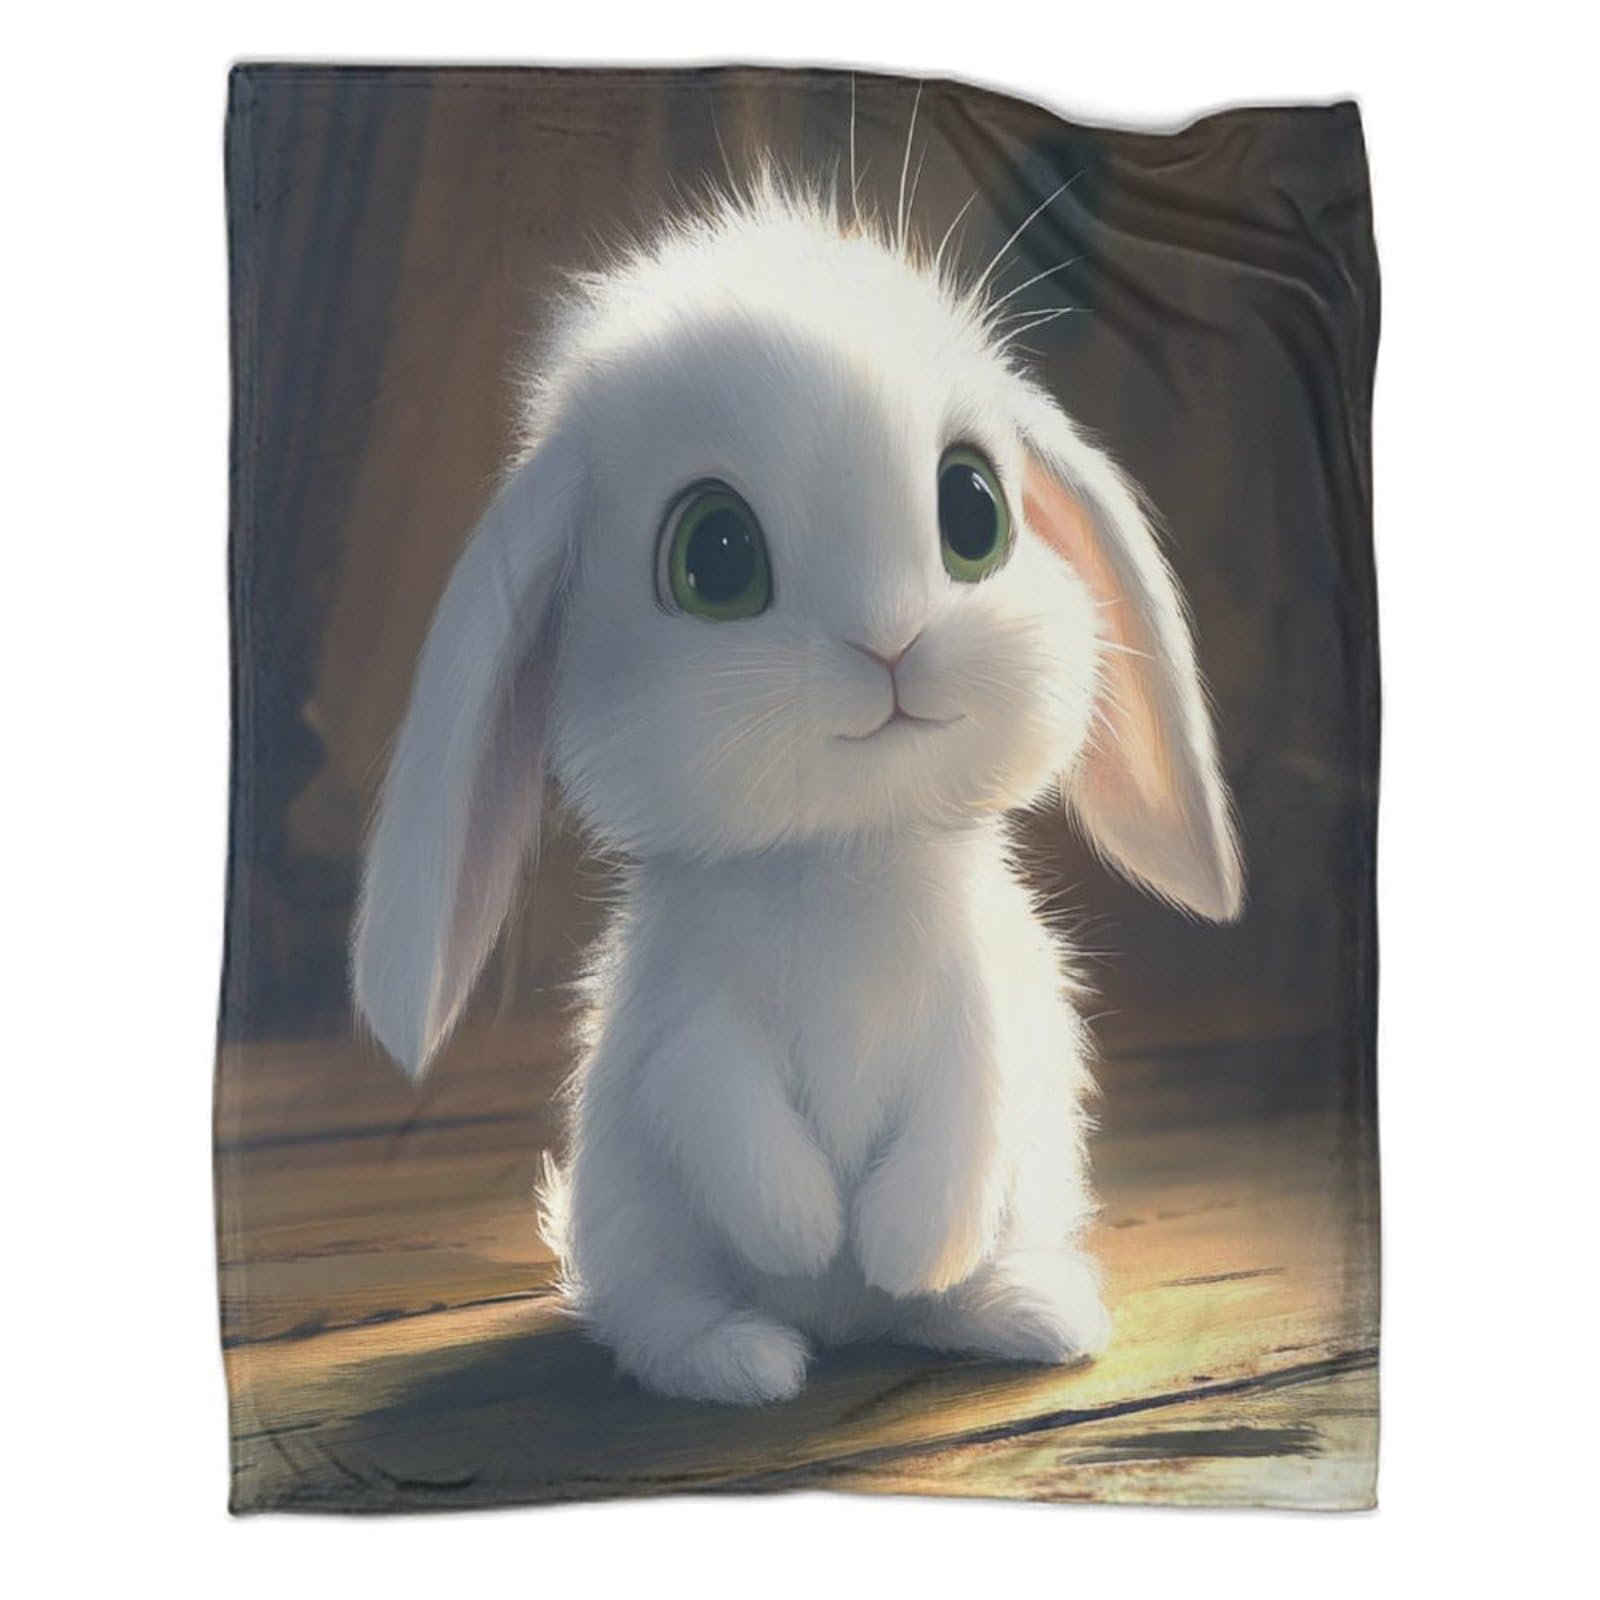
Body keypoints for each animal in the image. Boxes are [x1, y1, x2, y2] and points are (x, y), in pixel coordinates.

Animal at [351, 173, 1243, 1405]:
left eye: (973, 510)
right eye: (715, 555)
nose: (890, 640)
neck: (846, 858)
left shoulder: (989, 1010)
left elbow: (968, 1112)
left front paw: (900, 1245)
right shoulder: (679, 1026)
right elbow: (724, 1110)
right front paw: (809, 1233)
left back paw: (1016, 1311)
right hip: (640, 1226)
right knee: (656, 1312)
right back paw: (749, 1357)